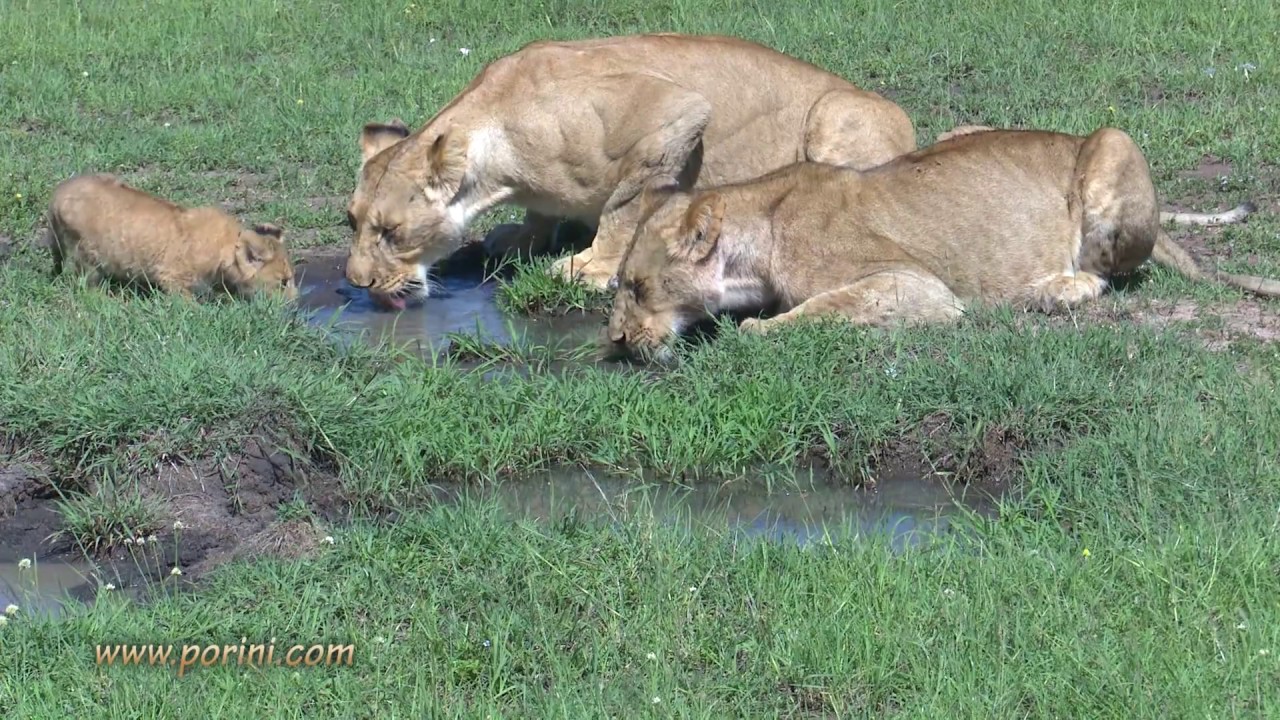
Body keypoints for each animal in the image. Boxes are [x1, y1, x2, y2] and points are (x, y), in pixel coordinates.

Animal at [47, 173, 298, 301]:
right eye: (283, 282)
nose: (295, 302)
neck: (225, 248)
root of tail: (57, 192)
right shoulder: (171, 277)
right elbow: (188, 304)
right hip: (84, 253)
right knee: (85, 282)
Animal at [343, 32, 917, 310]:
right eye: (352, 222)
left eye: (391, 232)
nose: (356, 281)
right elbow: (541, 214)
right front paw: (524, 237)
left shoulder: (675, 111)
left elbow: (622, 208)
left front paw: (590, 268)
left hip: (834, 112)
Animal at [603, 126, 1280, 361]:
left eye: (636, 287)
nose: (614, 340)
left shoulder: (910, 282)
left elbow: (813, 311)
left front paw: (755, 327)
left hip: (1112, 142)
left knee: (1106, 277)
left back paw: (1054, 291)